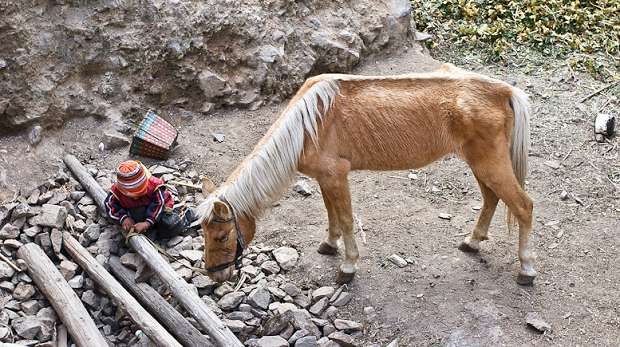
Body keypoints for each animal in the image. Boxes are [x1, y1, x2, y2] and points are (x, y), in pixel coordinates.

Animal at [196, 64, 536, 286]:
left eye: (222, 235)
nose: (216, 276)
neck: (307, 125)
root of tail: (502, 91)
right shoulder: (325, 179)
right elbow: (331, 213)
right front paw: (329, 244)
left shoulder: (337, 176)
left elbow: (346, 219)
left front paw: (347, 267)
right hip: (479, 164)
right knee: (491, 198)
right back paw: (472, 242)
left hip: (490, 163)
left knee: (523, 206)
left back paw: (526, 270)